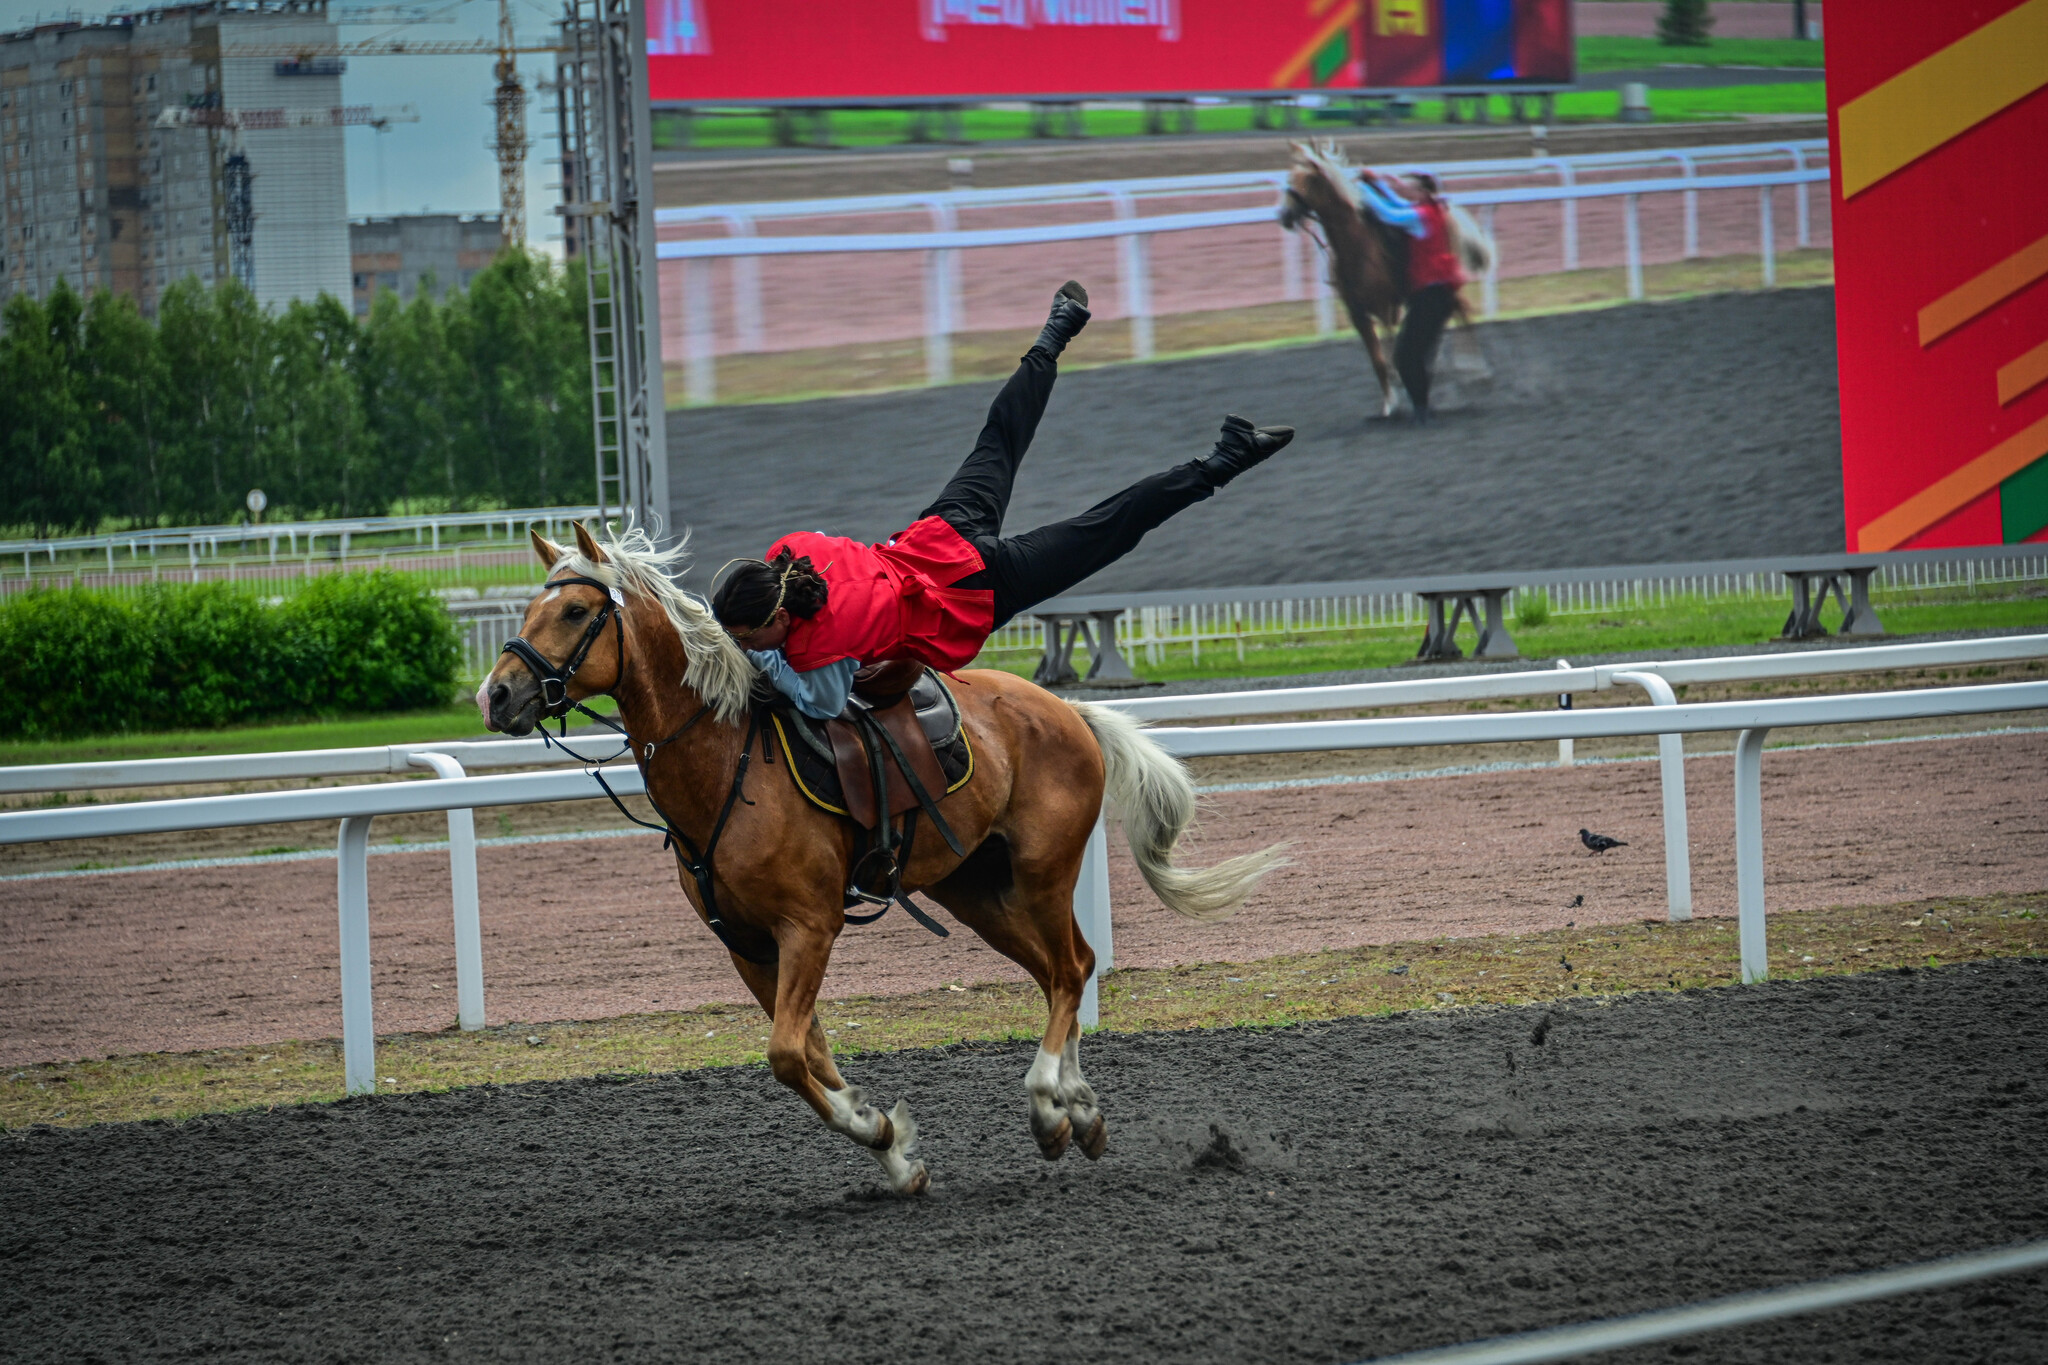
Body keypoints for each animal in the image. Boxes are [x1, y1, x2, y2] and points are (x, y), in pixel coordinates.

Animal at [479, 523, 1277, 1195]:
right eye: (530, 606)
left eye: (576, 610)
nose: (497, 694)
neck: (729, 757)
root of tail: (1065, 711)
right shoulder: (748, 947)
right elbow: (810, 1055)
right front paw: (894, 1151)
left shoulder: (810, 928)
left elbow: (786, 1054)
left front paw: (876, 1127)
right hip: (977, 893)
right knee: (1061, 972)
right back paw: (1078, 1112)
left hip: (1042, 875)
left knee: (1072, 970)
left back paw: (1049, 1104)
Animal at [1286, 139, 1499, 419]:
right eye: (1289, 175)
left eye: (1310, 179)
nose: (1285, 215)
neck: (1356, 247)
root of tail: (1446, 209)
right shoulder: (1358, 312)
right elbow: (1379, 360)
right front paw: (1390, 403)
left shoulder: (1384, 305)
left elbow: (1390, 351)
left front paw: (1400, 393)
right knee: (1451, 313)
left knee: (1461, 310)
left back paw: (1477, 370)